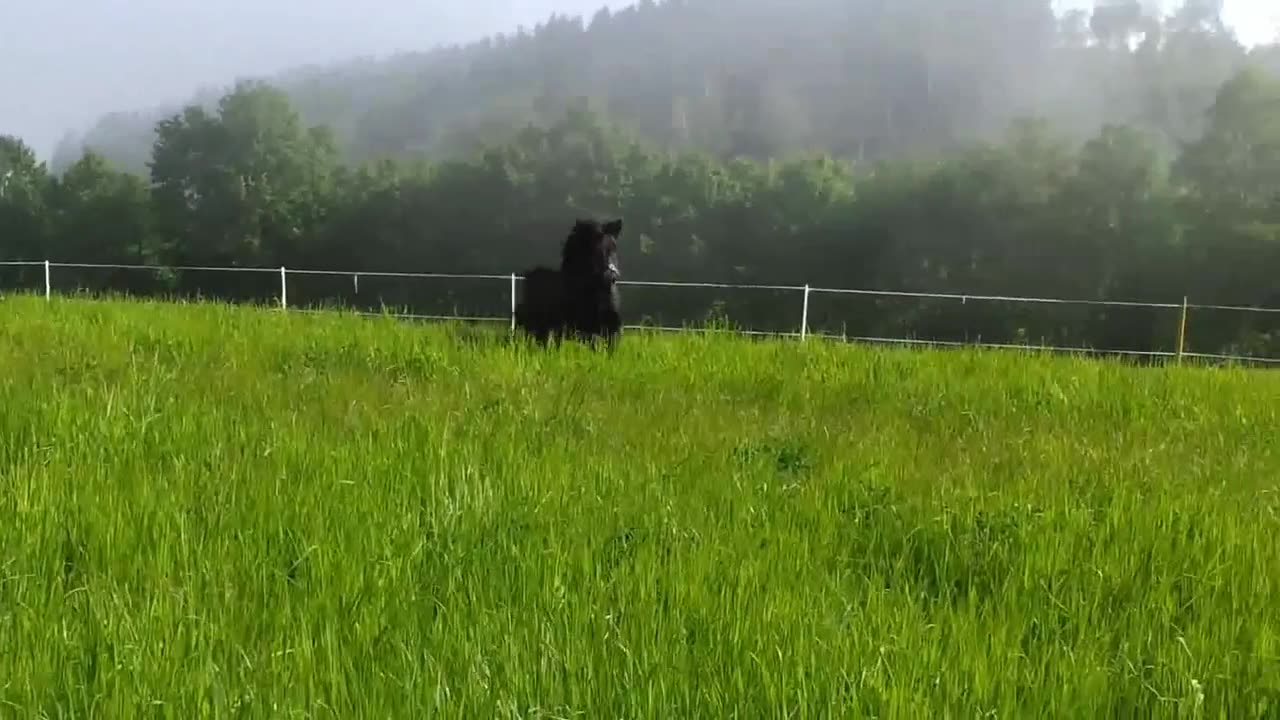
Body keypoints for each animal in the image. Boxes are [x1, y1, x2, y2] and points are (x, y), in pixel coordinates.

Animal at [514, 215, 624, 348]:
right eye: (595, 250)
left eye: (614, 249)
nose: (611, 276)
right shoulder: (574, 329)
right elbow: (591, 339)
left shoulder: (612, 326)